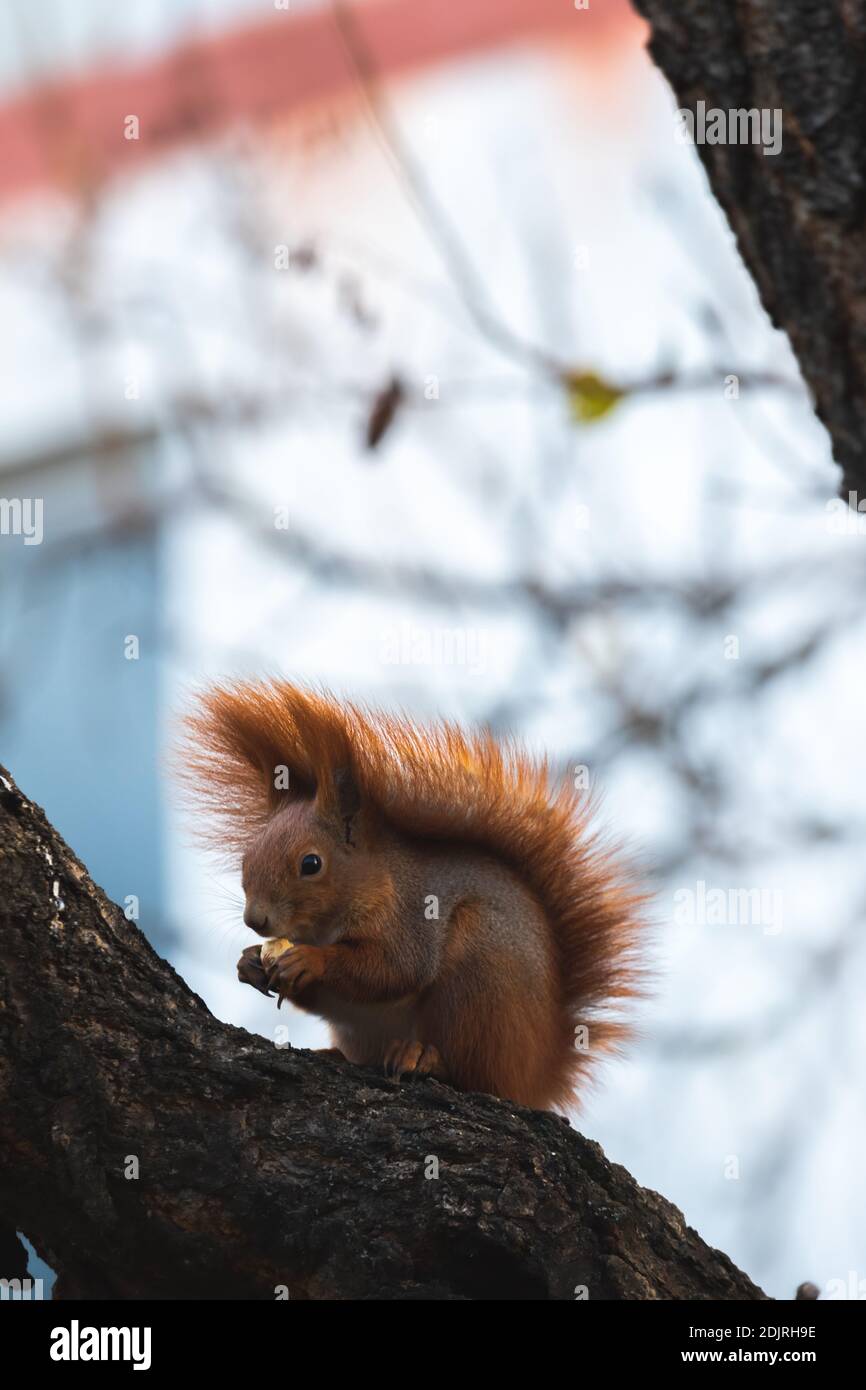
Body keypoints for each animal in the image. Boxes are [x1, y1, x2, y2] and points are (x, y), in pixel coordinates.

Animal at [181, 681, 646, 1112]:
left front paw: (311, 960)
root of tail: (538, 1073)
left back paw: (424, 1057)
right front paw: (248, 963)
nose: (254, 920)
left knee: (477, 1074)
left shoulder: (413, 915)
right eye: (246, 856)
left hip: (482, 977)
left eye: (311, 863)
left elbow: (394, 969)